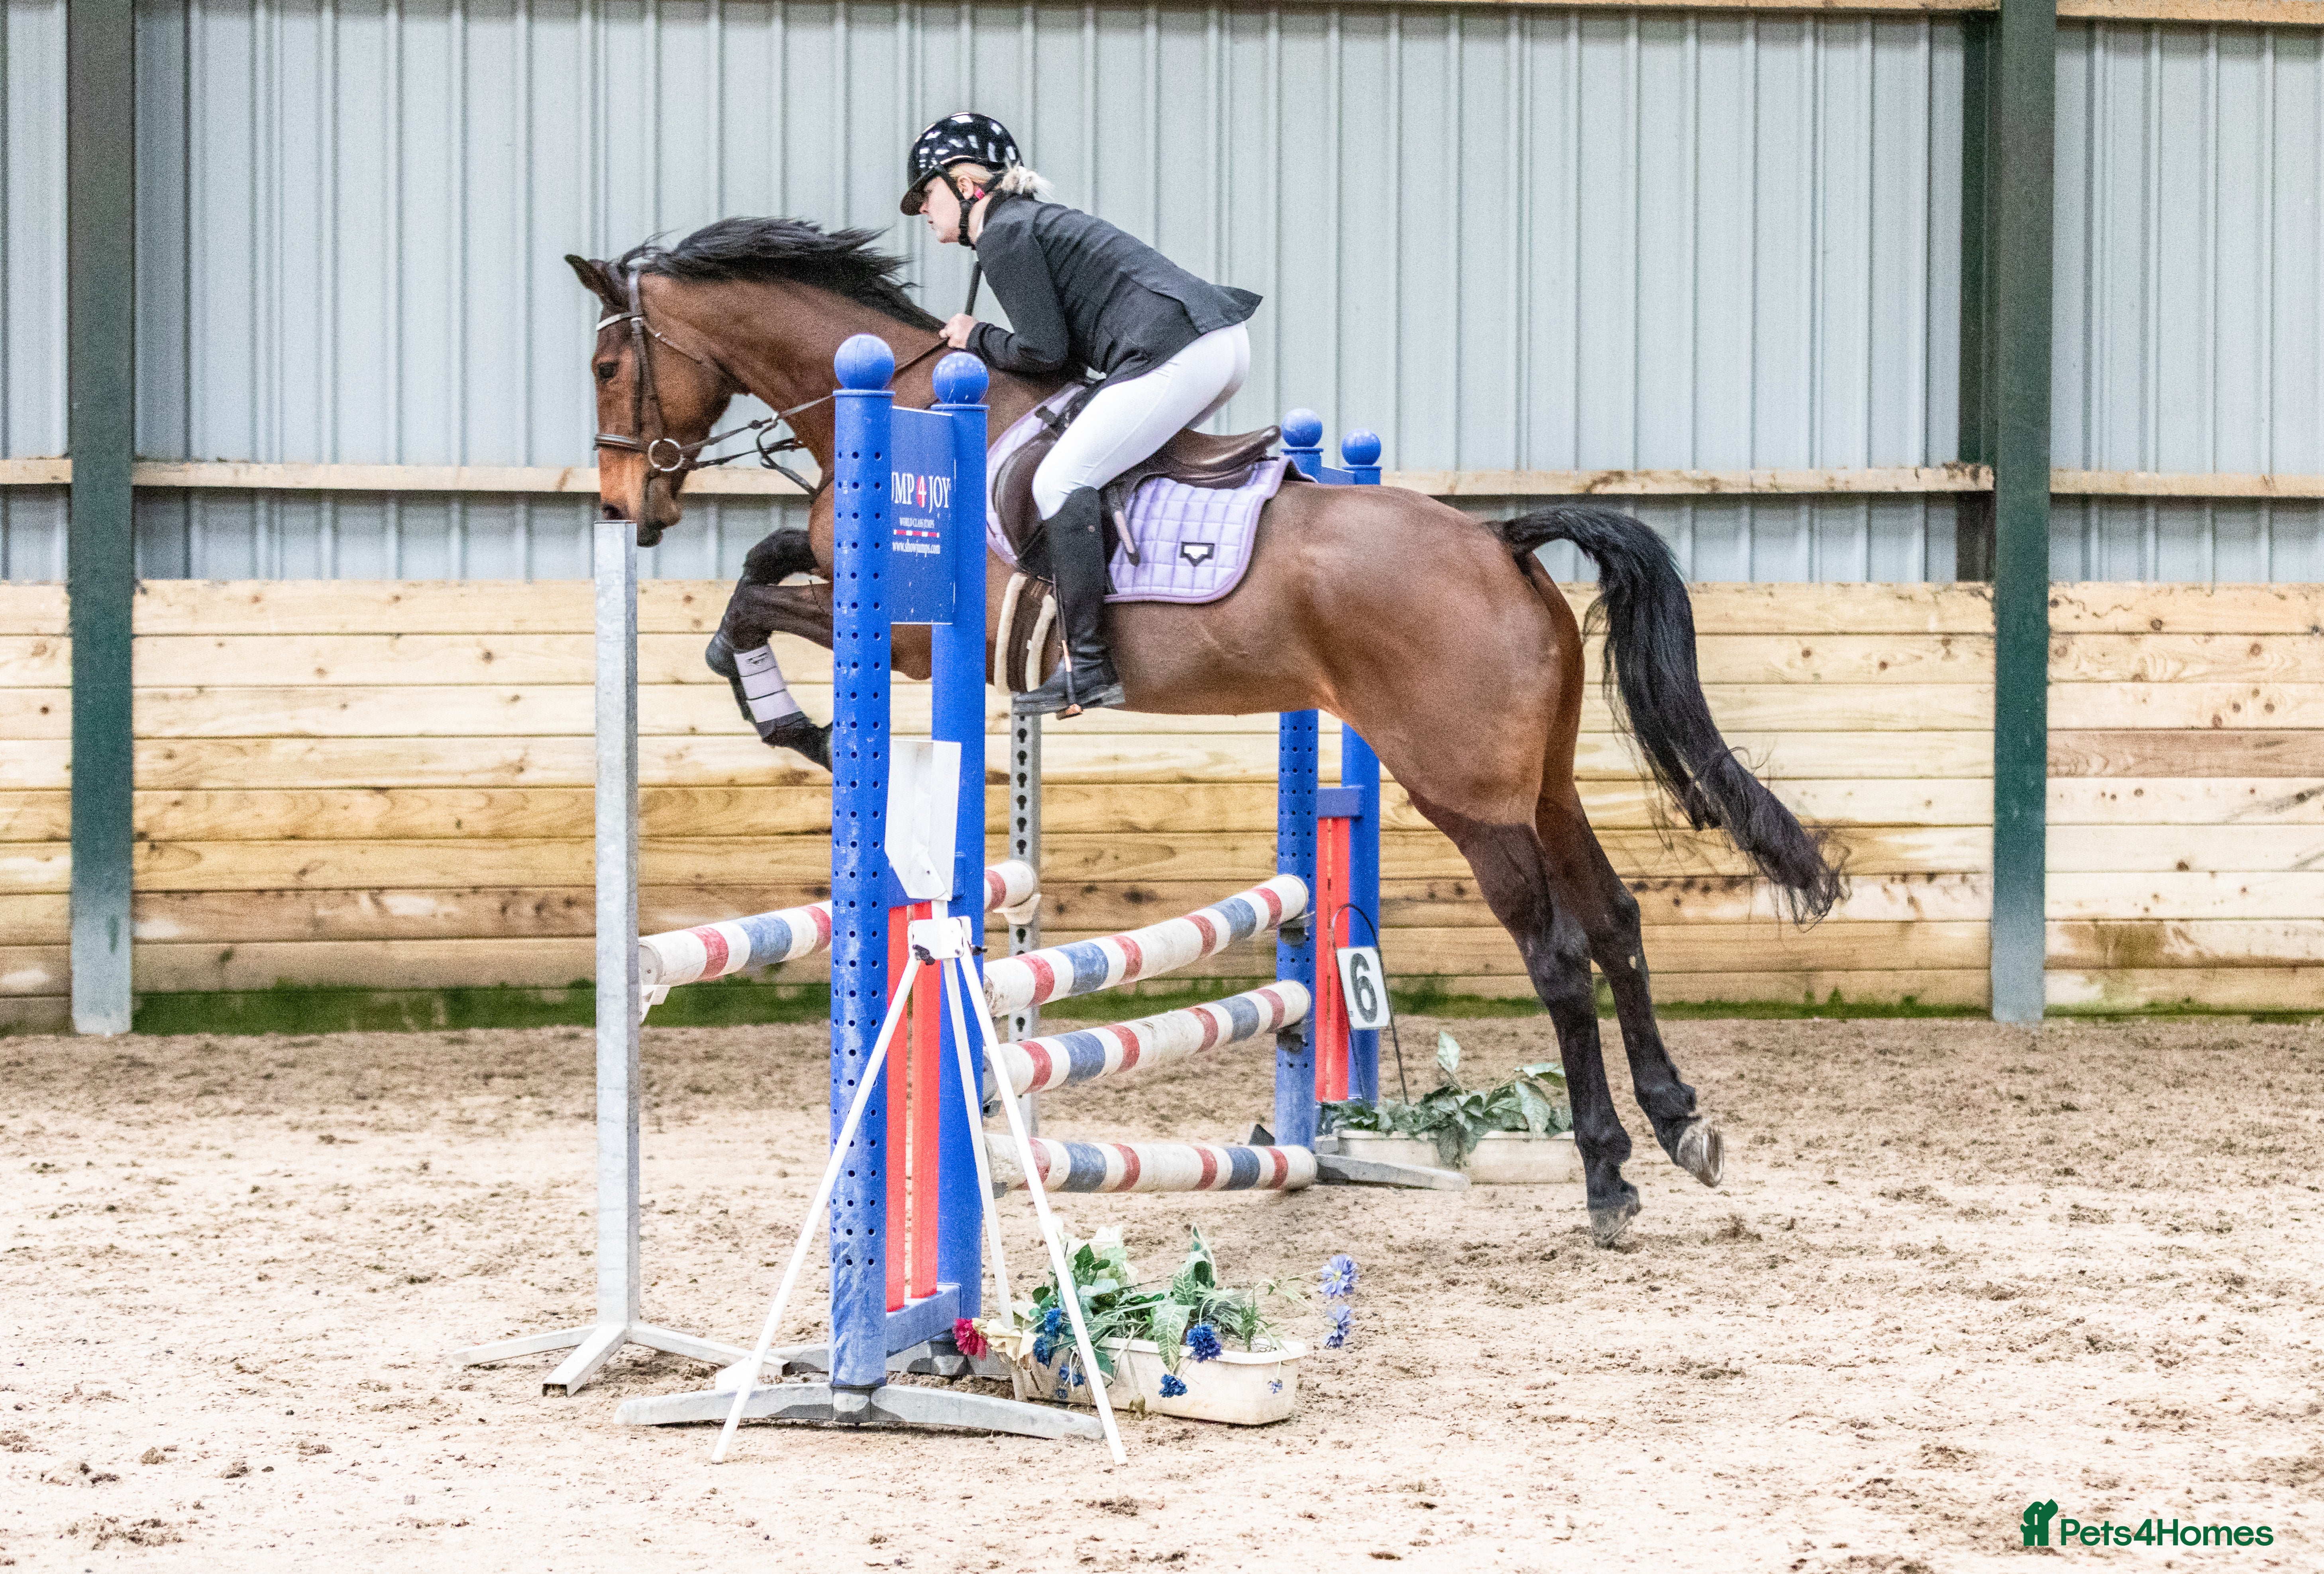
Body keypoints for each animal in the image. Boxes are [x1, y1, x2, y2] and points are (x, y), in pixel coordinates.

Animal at [568, 217, 1844, 1248]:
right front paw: (792, 710)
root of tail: (1499, 542)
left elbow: (749, 605)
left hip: (1467, 797)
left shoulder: (919, 642)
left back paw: (1609, 1181)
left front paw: (801, 725)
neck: (909, 406)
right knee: (1618, 923)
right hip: (1544, 785)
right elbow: (765, 560)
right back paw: (1679, 1126)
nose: (629, 508)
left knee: (1559, 955)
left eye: (605, 365)